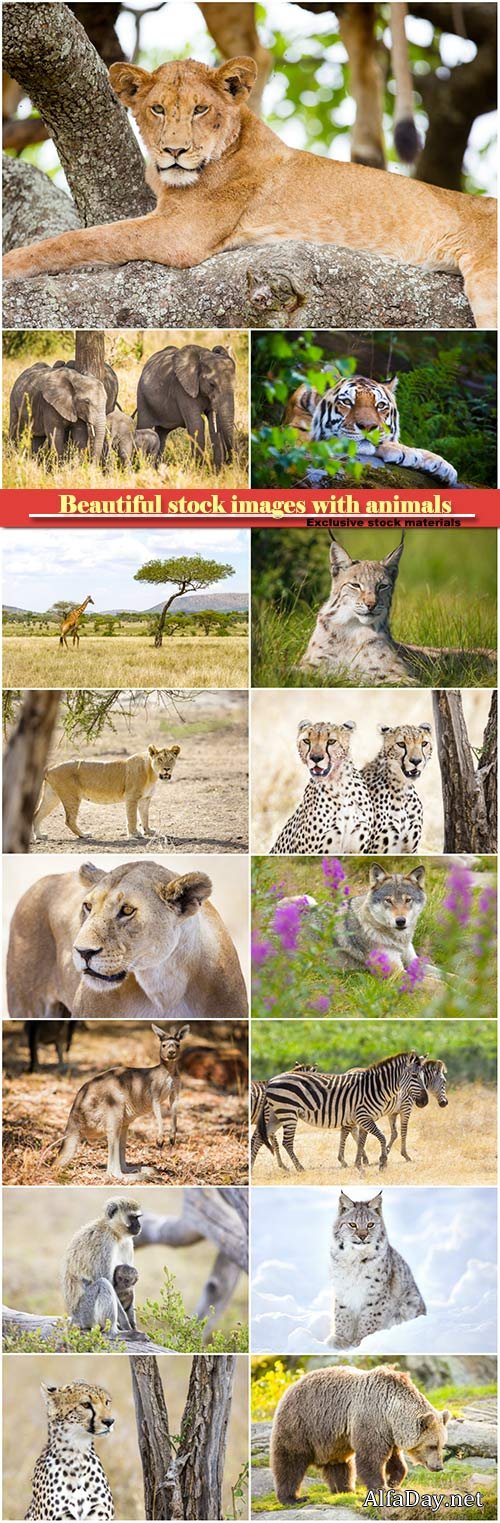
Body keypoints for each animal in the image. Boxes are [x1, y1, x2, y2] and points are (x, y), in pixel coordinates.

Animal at [3, 56, 495, 328]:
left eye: (200, 109)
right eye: (157, 109)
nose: (175, 151)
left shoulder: (181, 233)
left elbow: (84, 238)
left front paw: (11, 264)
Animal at [33, 744, 181, 841]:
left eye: (171, 759)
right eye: (160, 759)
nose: (167, 769)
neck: (152, 773)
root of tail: (50, 768)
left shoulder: (145, 798)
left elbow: (145, 816)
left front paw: (148, 831)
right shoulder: (131, 797)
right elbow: (132, 817)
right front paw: (133, 834)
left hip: (52, 797)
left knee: (36, 814)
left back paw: (40, 836)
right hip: (72, 797)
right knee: (69, 820)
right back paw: (84, 835)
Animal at [270, 1363, 450, 1503]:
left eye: (442, 1445)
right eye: (432, 1445)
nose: (439, 1467)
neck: (391, 1411)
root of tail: (291, 1386)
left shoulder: (388, 1432)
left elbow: (394, 1459)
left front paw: (394, 1482)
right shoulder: (371, 1419)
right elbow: (371, 1457)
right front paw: (381, 1487)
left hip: (332, 1440)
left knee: (339, 1464)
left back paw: (345, 1489)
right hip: (302, 1423)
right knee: (290, 1461)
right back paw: (292, 1498)